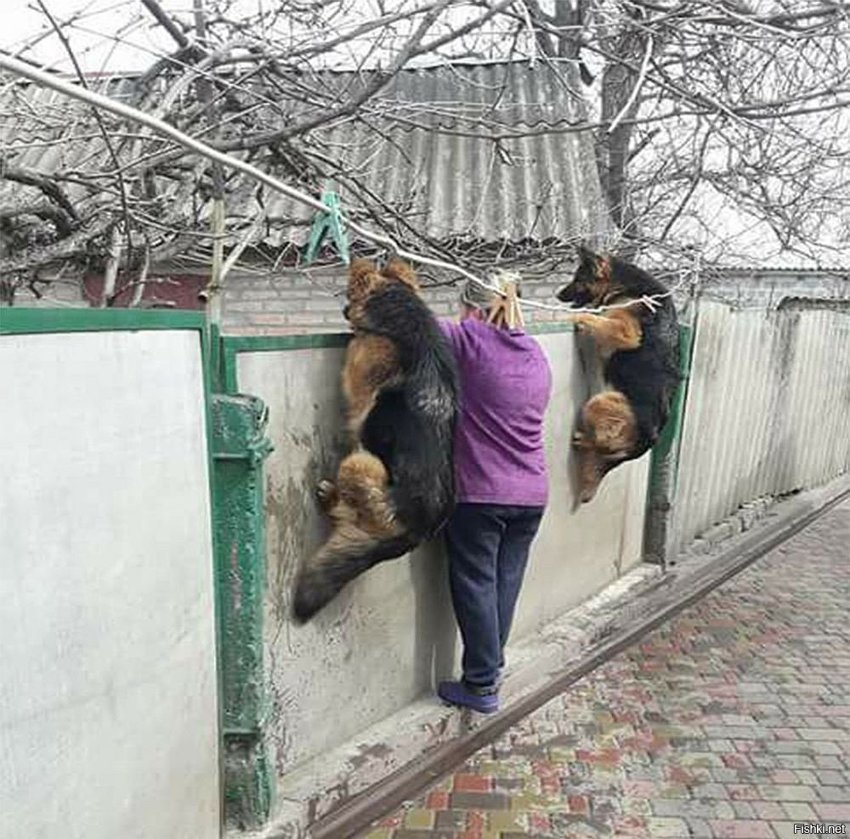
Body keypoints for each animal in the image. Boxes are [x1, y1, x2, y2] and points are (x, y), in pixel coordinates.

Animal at [292, 260, 458, 620]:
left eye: (348, 296)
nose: (343, 311)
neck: (409, 310)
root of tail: (417, 532)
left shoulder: (359, 366)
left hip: (361, 463)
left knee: (349, 512)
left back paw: (330, 497)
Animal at [552, 246, 680, 502]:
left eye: (577, 280)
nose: (558, 296)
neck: (626, 287)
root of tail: (647, 442)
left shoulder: (625, 332)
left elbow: (591, 316)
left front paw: (567, 317)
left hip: (601, 401)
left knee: (598, 444)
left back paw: (583, 439)